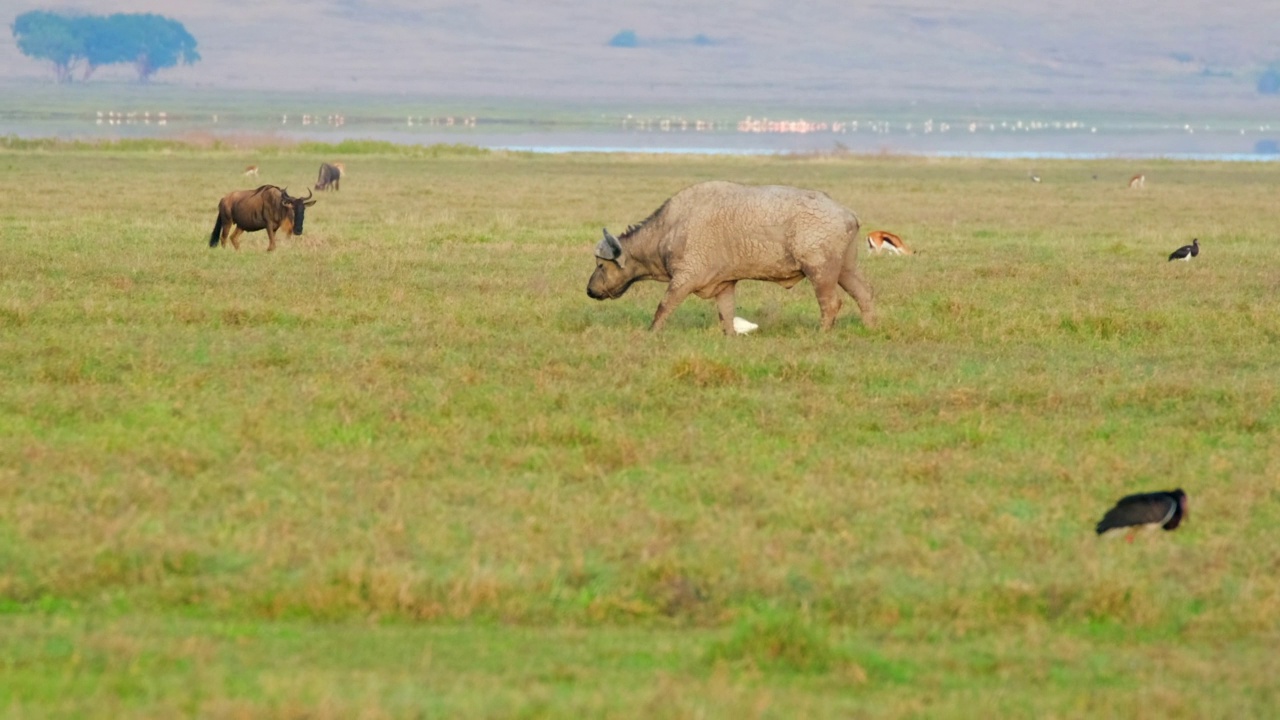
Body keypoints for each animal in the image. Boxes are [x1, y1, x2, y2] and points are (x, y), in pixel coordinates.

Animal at [586, 181, 870, 333]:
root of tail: (847, 213)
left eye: (600, 264)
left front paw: (652, 333)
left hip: (821, 272)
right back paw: (871, 326)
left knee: (831, 303)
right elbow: (727, 314)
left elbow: (664, 306)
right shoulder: (724, 284)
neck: (670, 228)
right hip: (846, 269)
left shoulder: (684, 279)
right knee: (865, 294)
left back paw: (822, 333)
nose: (589, 290)